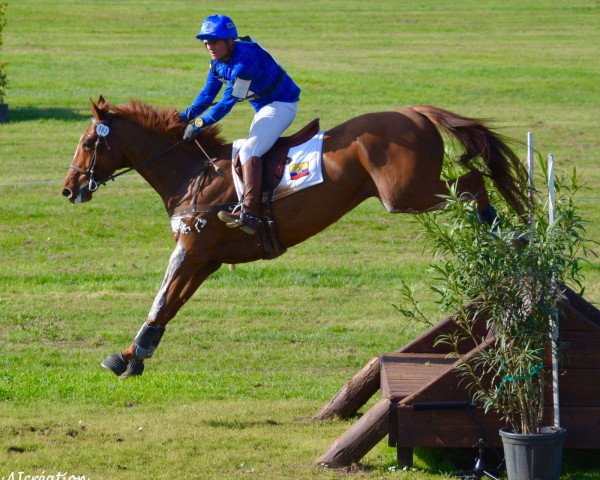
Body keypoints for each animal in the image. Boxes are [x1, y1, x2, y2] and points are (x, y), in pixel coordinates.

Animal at [62, 95, 524, 376]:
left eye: (87, 143)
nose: (68, 189)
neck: (192, 174)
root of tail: (413, 111)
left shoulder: (190, 249)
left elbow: (161, 296)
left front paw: (126, 356)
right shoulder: (206, 258)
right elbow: (171, 304)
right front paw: (138, 354)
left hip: (408, 193)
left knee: (473, 184)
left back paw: (511, 234)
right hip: (415, 191)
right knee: (475, 182)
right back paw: (510, 233)